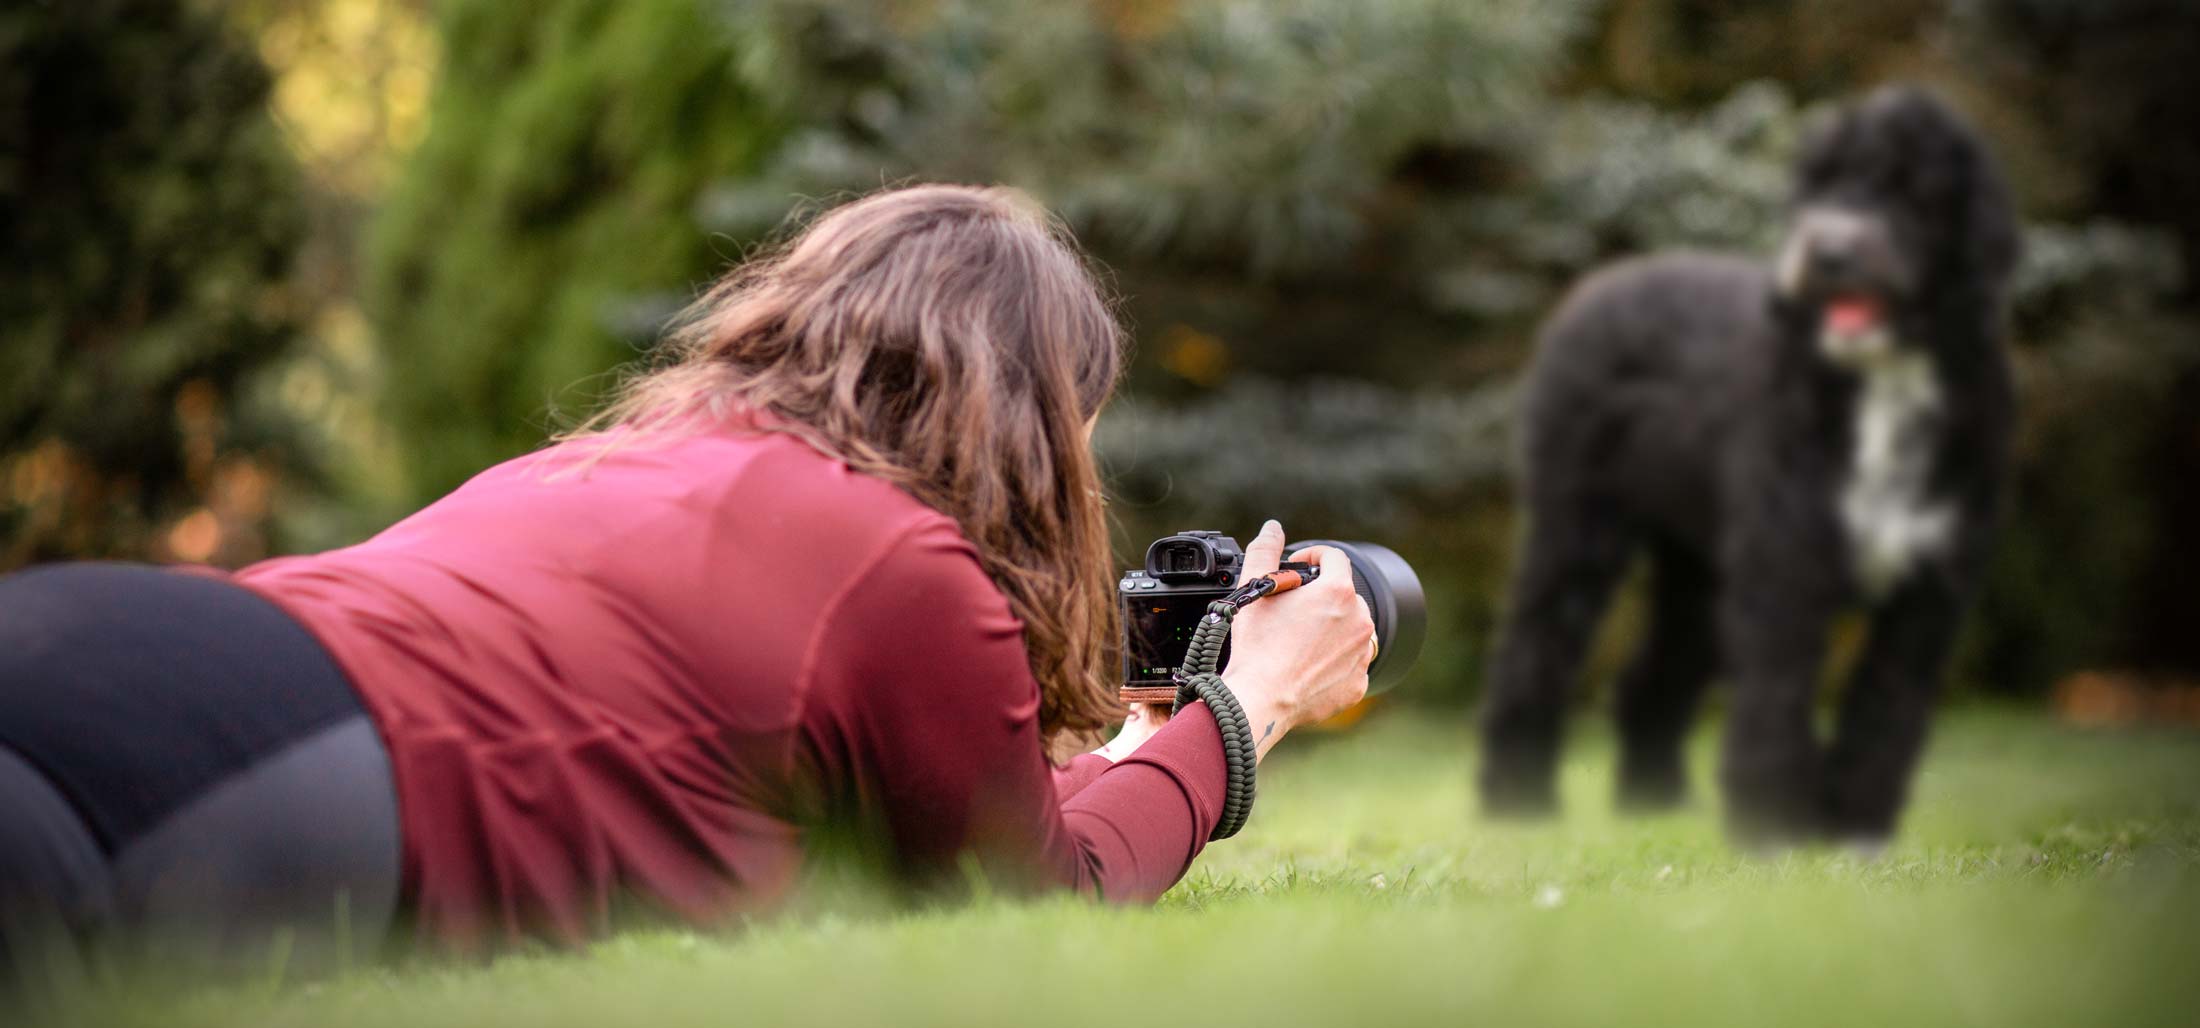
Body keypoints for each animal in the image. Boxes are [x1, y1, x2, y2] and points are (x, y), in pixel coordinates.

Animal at [1487, 88, 2015, 845]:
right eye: (1820, 185)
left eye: (1910, 191)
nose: (1829, 251)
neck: (1882, 378)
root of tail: (1602, 281)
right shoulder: (1785, 558)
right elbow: (1776, 691)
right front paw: (1778, 827)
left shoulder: (1932, 584)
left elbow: (1886, 706)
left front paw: (1856, 825)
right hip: (1577, 518)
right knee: (1535, 647)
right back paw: (1516, 802)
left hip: (1697, 565)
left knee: (1652, 675)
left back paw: (1652, 802)